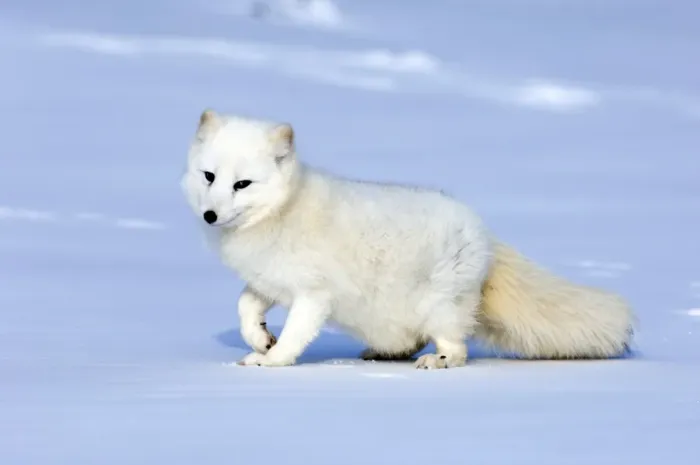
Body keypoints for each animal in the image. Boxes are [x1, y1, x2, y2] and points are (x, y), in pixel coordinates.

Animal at [180, 109, 636, 369]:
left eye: (242, 184)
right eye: (209, 176)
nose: (210, 215)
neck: (282, 210)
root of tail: (485, 234)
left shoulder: (313, 294)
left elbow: (295, 335)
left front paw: (271, 360)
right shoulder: (270, 280)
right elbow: (245, 305)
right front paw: (260, 337)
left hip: (439, 305)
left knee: (459, 349)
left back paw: (437, 361)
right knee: (411, 340)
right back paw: (387, 354)